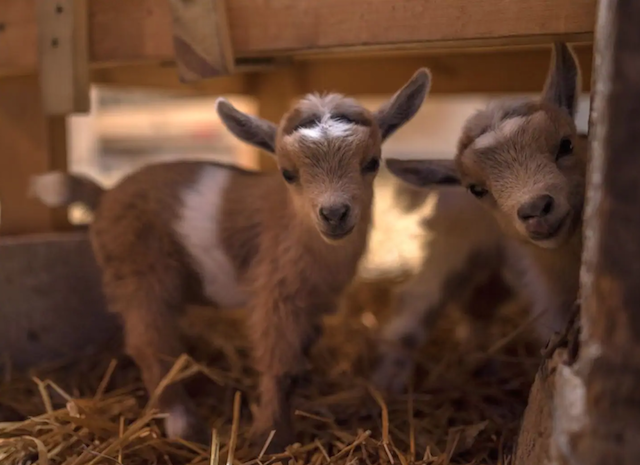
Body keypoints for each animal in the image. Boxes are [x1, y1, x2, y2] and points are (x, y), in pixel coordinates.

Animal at [28, 70, 430, 450]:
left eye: (372, 162)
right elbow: (279, 364)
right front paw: (271, 437)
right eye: (288, 173)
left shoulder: (315, 301)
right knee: (150, 342)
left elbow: (301, 356)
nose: (334, 214)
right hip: (138, 270)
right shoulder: (275, 292)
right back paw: (184, 424)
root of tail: (104, 194)